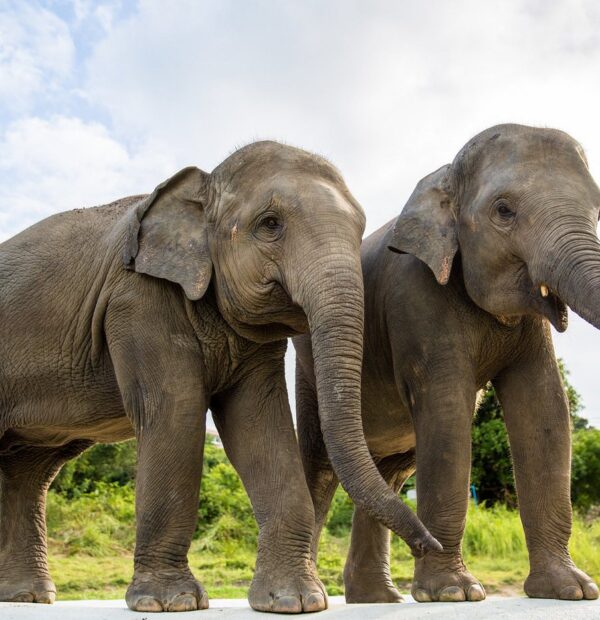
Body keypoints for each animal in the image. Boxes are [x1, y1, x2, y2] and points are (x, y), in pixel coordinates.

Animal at [0, 142, 440, 616]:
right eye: (270, 224)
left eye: (360, 229)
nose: (428, 545)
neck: (202, 186)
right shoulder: (138, 300)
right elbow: (174, 414)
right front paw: (170, 602)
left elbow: (259, 425)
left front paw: (294, 601)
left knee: (29, 472)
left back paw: (26, 597)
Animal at [294, 124, 600, 604]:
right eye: (504, 210)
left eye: (597, 206)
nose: (427, 547)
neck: (445, 175)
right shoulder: (417, 297)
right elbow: (448, 412)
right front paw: (453, 593)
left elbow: (545, 411)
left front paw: (571, 590)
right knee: (320, 465)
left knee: (392, 473)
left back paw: (377, 598)